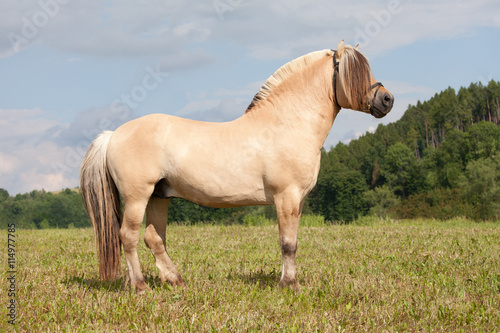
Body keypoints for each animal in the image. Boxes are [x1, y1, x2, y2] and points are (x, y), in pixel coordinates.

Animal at [80, 41, 394, 294]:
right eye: (355, 71)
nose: (387, 99)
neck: (287, 123)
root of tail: (113, 135)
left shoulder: (297, 200)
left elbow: (291, 240)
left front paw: (287, 280)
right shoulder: (286, 196)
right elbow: (288, 243)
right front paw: (289, 285)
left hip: (159, 195)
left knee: (153, 238)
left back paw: (176, 280)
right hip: (138, 196)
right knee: (129, 237)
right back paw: (140, 286)